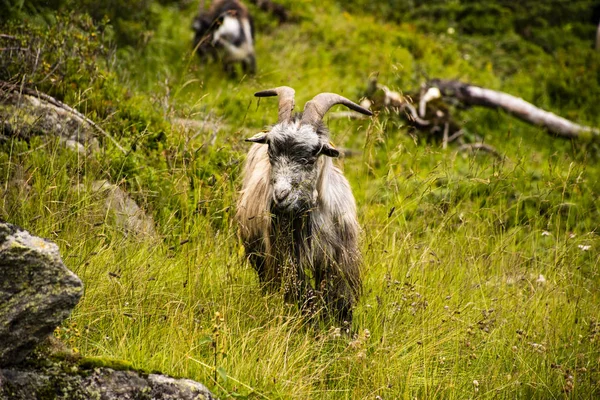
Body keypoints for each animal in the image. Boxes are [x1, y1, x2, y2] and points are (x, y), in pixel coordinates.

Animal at [234, 86, 370, 324]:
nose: (281, 196)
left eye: (311, 156)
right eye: (271, 152)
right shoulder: (288, 260)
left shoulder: (339, 260)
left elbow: (341, 302)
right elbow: (305, 298)